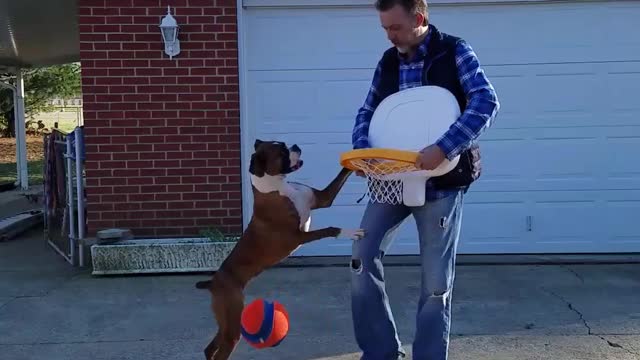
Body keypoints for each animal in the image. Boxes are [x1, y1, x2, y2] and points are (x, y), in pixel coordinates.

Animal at [195, 139, 362, 358]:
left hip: (225, 319)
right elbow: (331, 229)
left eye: (283, 143)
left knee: (210, 347)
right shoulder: (299, 236)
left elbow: (342, 174)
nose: (296, 146)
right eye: (281, 152)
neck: (279, 187)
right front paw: (350, 232)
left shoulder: (323, 199)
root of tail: (213, 282)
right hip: (232, 322)